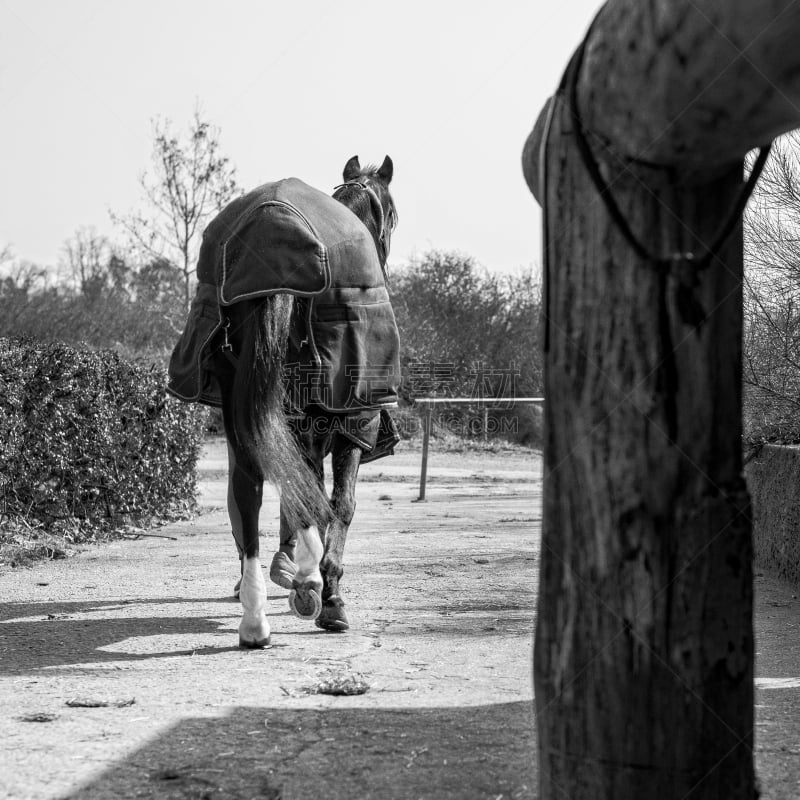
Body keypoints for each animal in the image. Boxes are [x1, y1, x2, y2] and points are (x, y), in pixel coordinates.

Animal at [167, 153, 398, 648]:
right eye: (392, 217)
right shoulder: (351, 423)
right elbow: (338, 503)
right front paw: (323, 587)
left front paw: (302, 577)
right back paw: (312, 586)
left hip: (245, 415)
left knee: (248, 491)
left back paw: (255, 616)